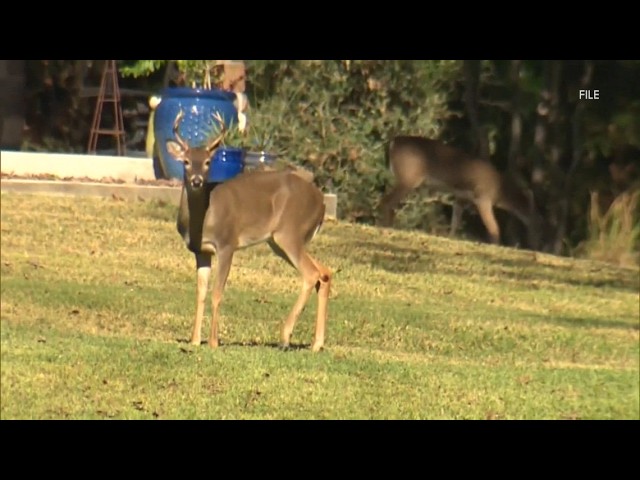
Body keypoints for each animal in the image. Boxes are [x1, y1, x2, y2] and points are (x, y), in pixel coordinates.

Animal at [166, 110, 331, 352]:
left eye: (207, 162)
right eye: (186, 162)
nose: (197, 181)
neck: (204, 218)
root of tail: (322, 202)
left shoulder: (227, 243)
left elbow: (217, 293)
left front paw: (214, 341)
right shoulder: (201, 251)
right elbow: (201, 293)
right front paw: (195, 340)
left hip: (290, 231)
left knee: (311, 274)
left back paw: (285, 337)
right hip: (280, 241)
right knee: (325, 272)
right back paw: (317, 344)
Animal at [378, 135, 544, 249]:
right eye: (538, 218)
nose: (540, 238)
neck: (500, 192)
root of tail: (393, 142)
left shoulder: (461, 198)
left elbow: (455, 221)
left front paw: (450, 238)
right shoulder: (483, 197)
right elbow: (494, 228)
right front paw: (497, 246)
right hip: (409, 177)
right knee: (386, 201)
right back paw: (386, 229)